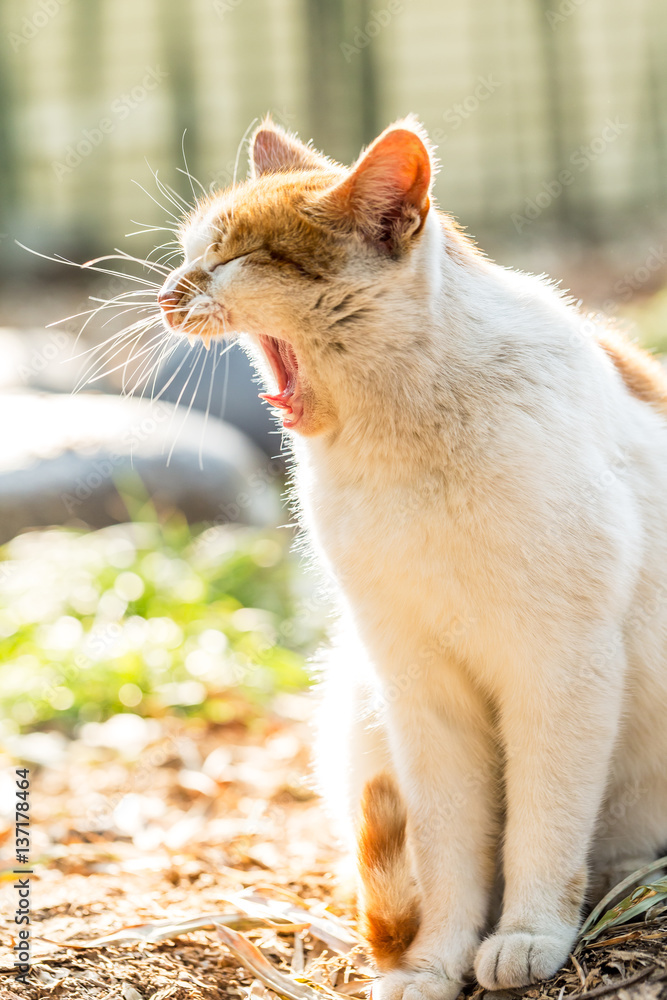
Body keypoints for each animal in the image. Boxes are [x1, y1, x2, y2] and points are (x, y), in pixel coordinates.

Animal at [158, 115, 667, 992]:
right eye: (189, 254)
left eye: (231, 258)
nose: (165, 292)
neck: (404, 437)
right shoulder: (415, 684)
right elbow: (445, 846)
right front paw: (435, 960)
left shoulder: (561, 668)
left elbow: (543, 823)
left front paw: (528, 931)